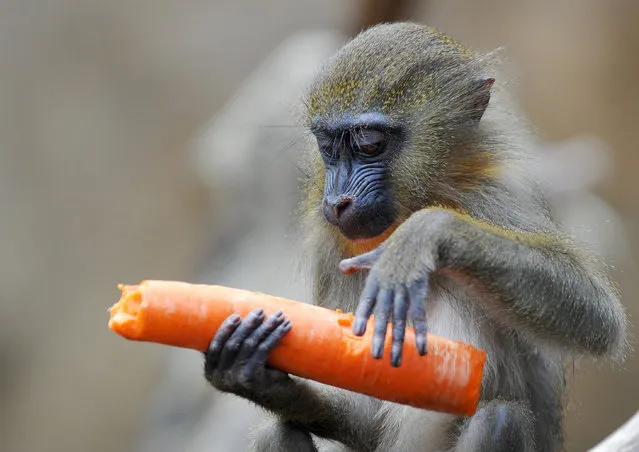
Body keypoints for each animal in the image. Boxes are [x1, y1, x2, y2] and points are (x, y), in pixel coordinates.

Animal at [202, 22, 628, 452]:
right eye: (327, 146)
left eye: (370, 144)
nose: (338, 202)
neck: (415, 199)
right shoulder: (330, 244)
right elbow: (358, 404)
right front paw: (249, 370)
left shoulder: (499, 194)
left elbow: (597, 315)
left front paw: (423, 235)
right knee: (275, 431)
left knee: (500, 417)